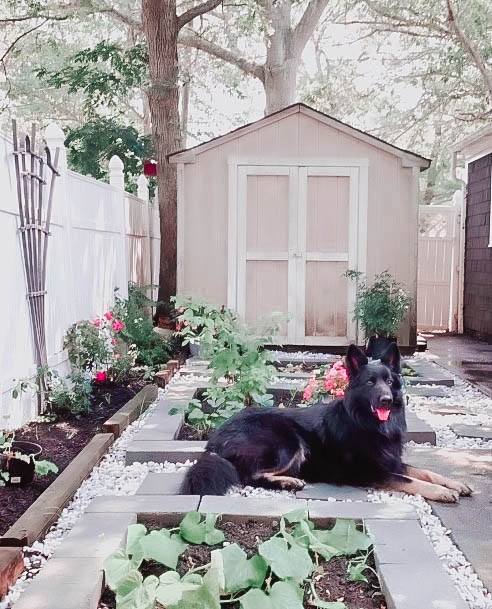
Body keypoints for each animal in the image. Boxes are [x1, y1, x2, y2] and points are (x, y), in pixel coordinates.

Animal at [180, 344, 468, 502]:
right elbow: (411, 480)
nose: (386, 400)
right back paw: (289, 482)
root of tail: (216, 439)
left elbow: (426, 472)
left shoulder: (391, 461)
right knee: (250, 476)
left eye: (389, 381)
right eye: (370, 383)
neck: (367, 423)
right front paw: (440, 492)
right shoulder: (372, 472)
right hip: (287, 442)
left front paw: (455, 484)